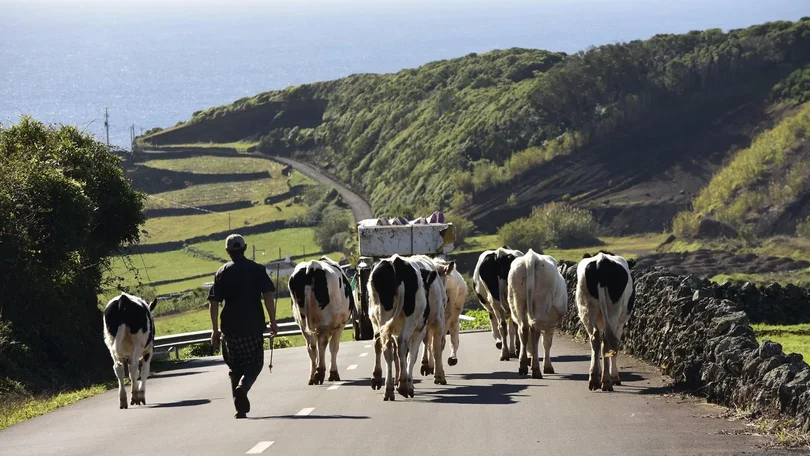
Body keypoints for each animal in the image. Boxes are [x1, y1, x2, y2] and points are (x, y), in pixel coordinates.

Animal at [290, 256, 354, 384]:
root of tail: (312, 266)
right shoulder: (341, 324)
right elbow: (334, 346)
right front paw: (333, 373)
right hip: (325, 321)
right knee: (322, 343)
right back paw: (320, 371)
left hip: (302, 322)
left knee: (311, 346)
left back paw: (312, 376)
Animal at [368, 255, 430, 400]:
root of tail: (395, 262)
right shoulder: (419, 330)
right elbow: (411, 356)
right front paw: (409, 384)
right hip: (410, 320)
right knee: (402, 345)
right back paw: (403, 386)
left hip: (380, 316)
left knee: (384, 347)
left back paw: (387, 387)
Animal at [508, 249, 564, 378]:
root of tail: (531, 256)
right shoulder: (551, 324)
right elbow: (547, 343)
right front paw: (547, 367)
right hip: (541, 302)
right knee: (535, 331)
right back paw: (536, 369)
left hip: (518, 301)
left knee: (523, 330)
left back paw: (523, 366)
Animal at [572, 251, 636, 390]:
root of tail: (602, 260)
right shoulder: (620, 324)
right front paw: (614, 377)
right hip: (613, 312)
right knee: (607, 340)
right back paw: (606, 381)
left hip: (586, 309)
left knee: (595, 338)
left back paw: (594, 379)